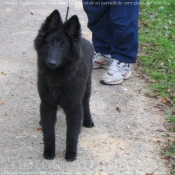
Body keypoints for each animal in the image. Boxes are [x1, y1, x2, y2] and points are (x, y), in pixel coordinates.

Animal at [34, 9, 94, 161]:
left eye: (63, 46)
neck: (57, 77)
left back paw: (88, 120)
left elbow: (71, 134)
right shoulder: (47, 104)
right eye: (50, 42)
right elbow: (49, 132)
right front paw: (49, 151)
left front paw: (71, 153)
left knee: (86, 103)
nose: (52, 63)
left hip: (87, 87)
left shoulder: (74, 106)